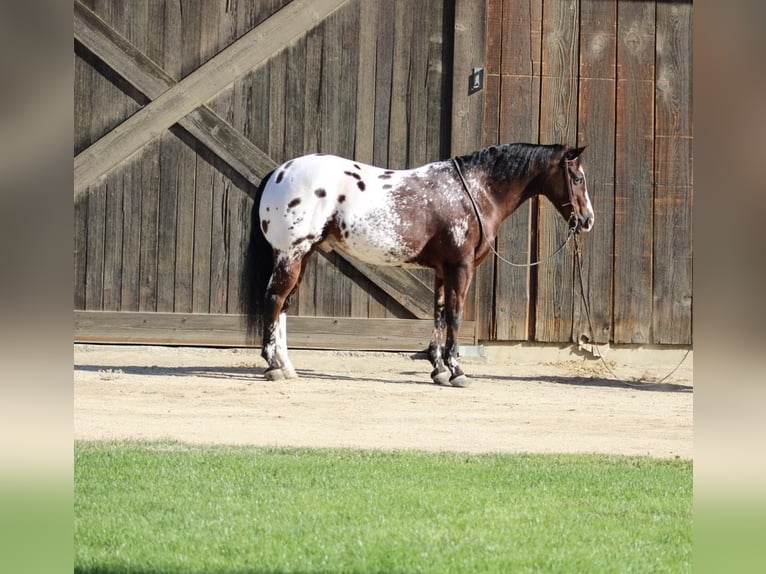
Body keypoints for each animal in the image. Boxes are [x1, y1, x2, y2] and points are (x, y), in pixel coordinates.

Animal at [240, 142, 594, 386]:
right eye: (577, 178)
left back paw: (287, 366)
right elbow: (455, 315)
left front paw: (438, 369)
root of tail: (279, 172)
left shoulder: (442, 270)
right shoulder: (460, 268)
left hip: (302, 255)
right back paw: (272, 366)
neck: (474, 191)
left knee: (284, 305)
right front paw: (456, 370)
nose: (588, 220)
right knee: (274, 300)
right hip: (291, 254)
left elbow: (438, 314)